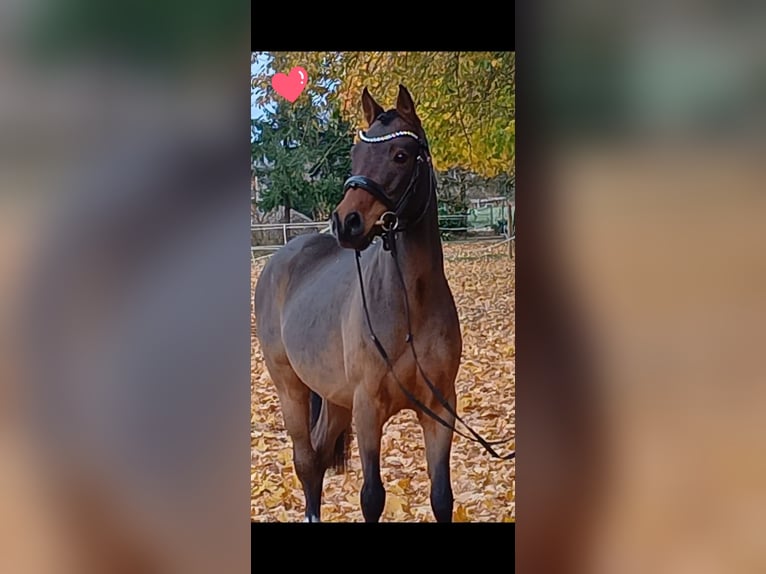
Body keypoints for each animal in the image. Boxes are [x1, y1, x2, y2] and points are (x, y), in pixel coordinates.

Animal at [254, 84, 462, 522]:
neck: (409, 305)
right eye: (355, 154)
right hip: (291, 389)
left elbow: (441, 497)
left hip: (334, 399)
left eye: (400, 155)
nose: (345, 222)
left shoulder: (440, 410)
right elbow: (372, 497)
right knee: (306, 461)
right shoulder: (368, 410)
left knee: (317, 456)